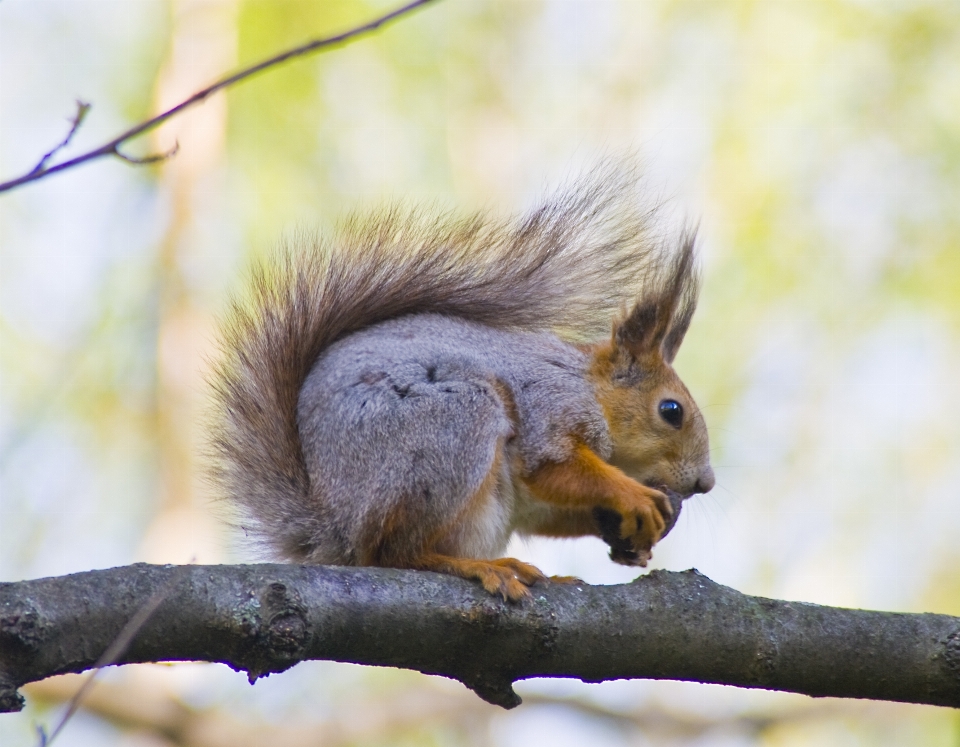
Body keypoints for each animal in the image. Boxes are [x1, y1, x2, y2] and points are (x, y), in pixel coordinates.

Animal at [210, 168, 712, 600]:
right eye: (671, 411)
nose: (704, 483)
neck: (589, 387)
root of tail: (337, 525)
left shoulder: (533, 499)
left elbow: (548, 507)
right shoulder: (549, 407)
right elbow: (553, 467)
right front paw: (633, 496)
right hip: (453, 427)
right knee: (395, 553)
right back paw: (480, 567)